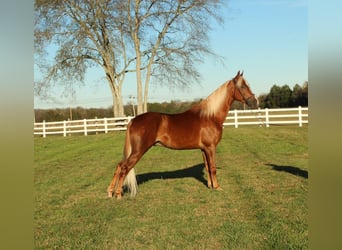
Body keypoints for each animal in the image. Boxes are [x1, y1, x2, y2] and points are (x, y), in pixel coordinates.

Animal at [106, 71, 256, 199]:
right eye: (243, 86)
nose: (254, 102)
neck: (210, 116)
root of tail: (133, 120)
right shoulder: (211, 147)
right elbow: (213, 168)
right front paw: (217, 187)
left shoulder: (203, 149)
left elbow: (208, 167)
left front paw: (210, 186)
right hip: (138, 151)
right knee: (124, 168)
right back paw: (118, 194)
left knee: (119, 165)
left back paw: (110, 192)